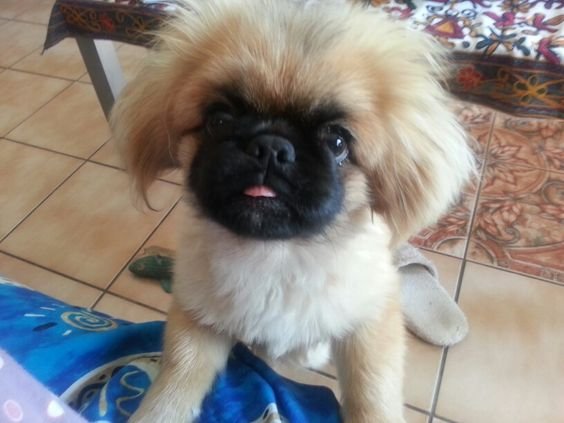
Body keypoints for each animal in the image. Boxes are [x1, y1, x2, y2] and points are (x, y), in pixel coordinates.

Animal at [109, 1, 472, 422]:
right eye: (219, 120)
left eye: (337, 142)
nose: (270, 146)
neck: (280, 255)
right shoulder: (196, 314)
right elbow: (178, 376)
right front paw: (157, 412)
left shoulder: (372, 319)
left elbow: (372, 392)